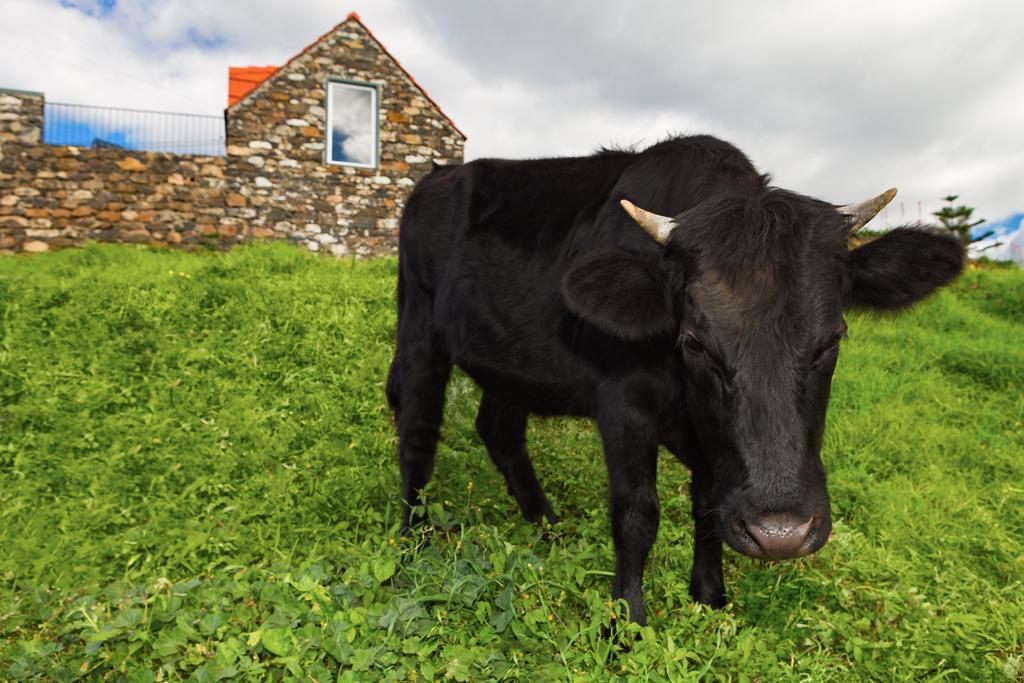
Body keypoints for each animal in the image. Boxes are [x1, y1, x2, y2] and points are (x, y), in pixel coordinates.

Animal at [385, 135, 966, 626]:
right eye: (694, 342)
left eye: (833, 340)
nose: (781, 535)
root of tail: (438, 176)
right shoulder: (623, 408)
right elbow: (637, 515)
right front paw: (628, 621)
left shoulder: (715, 449)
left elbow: (707, 505)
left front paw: (710, 597)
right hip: (417, 323)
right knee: (417, 424)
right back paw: (413, 539)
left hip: (510, 360)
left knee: (499, 427)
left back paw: (545, 522)